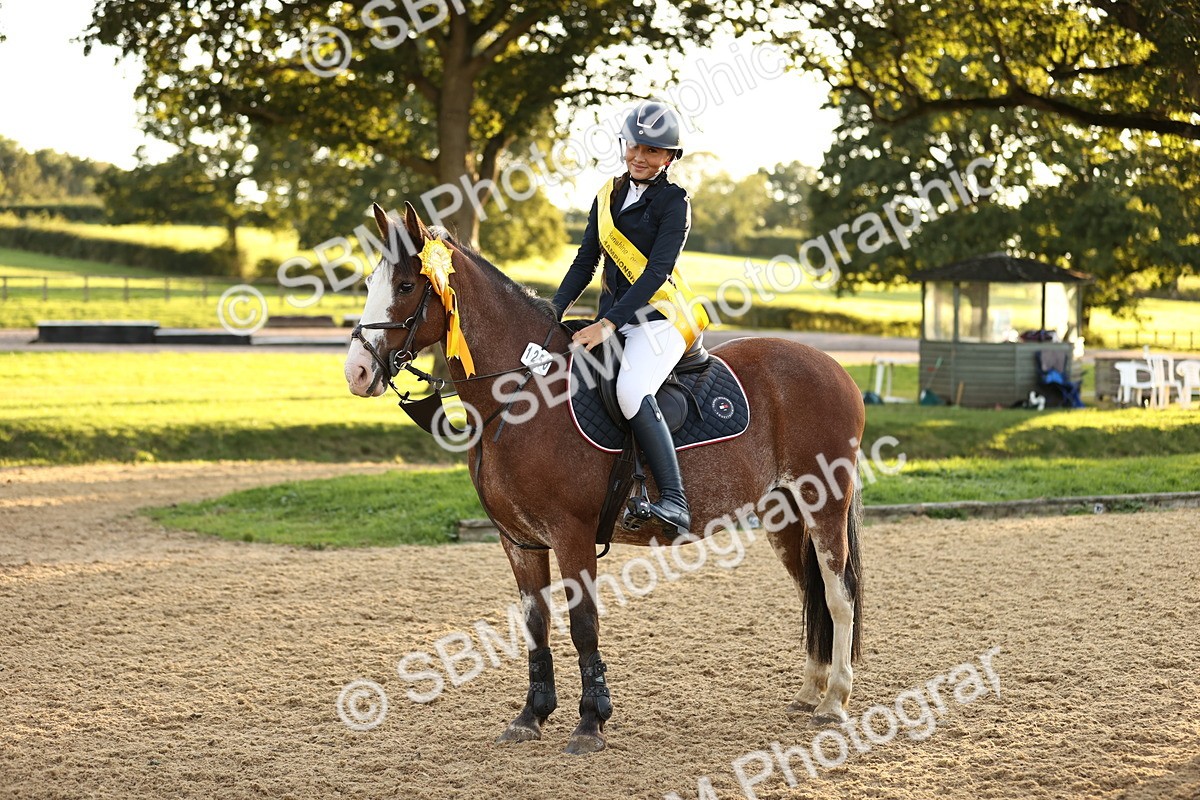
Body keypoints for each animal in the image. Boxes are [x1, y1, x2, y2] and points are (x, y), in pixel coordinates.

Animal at [344, 202, 865, 754]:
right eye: (371, 282)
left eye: (405, 285)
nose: (357, 372)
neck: (522, 393)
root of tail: (834, 368)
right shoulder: (520, 541)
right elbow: (537, 623)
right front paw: (531, 715)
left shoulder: (571, 535)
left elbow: (583, 626)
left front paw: (591, 722)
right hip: (784, 515)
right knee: (812, 593)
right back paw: (810, 693)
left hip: (824, 503)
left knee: (838, 595)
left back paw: (835, 701)